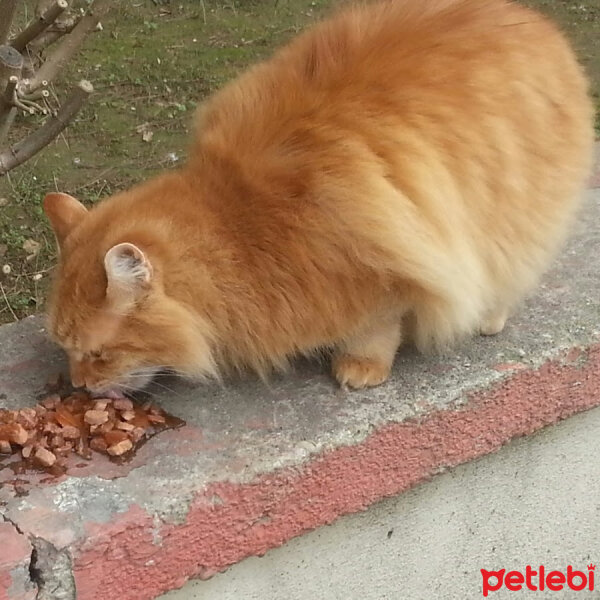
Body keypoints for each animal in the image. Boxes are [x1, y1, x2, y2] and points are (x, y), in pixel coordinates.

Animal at [43, 0, 596, 394]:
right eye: (67, 351)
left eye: (98, 355)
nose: (81, 386)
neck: (238, 227)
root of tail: (536, 19)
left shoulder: (381, 263)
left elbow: (376, 326)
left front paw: (361, 366)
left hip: (513, 203)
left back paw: (488, 316)